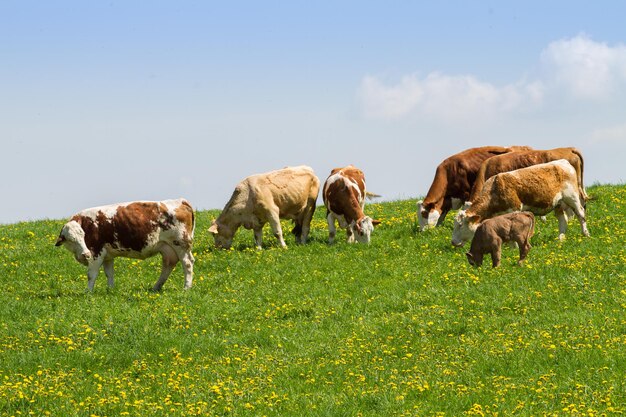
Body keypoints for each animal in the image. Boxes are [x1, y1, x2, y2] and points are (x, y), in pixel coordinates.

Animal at [54, 197, 194, 290]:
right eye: (71, 240)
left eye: (83, 236)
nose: (85, 254)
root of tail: (181, 201)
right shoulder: (107, 255)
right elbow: (109, 273)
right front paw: (110, 290)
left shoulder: (96, 253)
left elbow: (91, 275)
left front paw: (88, 292)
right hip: (168, 248)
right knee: (168, 265)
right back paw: (156, 288)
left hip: (181, 244)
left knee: (187, 263)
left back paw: (186, 288)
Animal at [448, 158, 588, 245]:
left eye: (460, 225)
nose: (453, 242)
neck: (494, 189)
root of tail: (563, 161)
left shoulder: (515, 209)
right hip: (558, 203)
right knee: (562, 220)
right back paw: (560, 239)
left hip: (572, 197)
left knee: (581, 214)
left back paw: (585, 234)